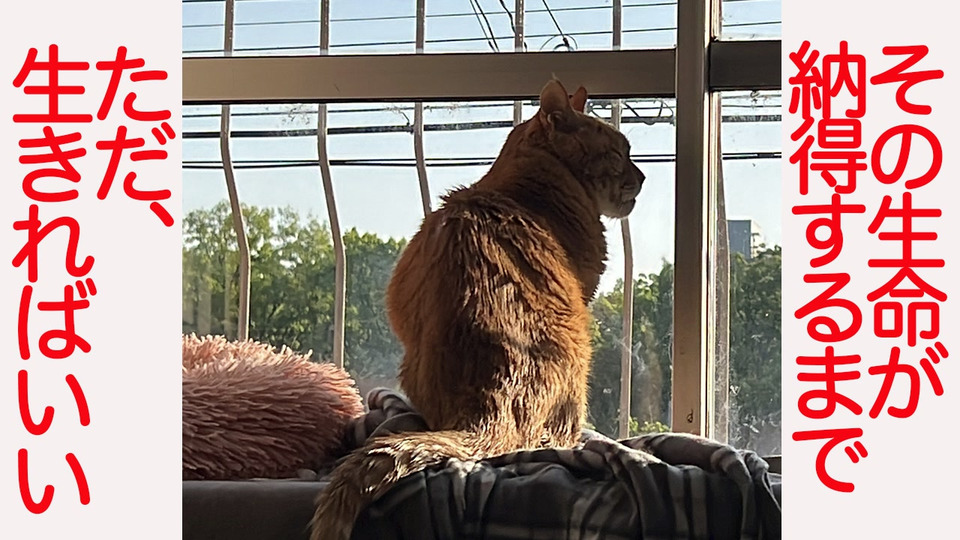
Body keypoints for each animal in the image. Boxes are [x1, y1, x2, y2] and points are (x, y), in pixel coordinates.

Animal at [310, 79, 645, 540]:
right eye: (618, 152)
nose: (642, 176)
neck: (525, 188)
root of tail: (491, 400)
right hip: (580, 363)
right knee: (559, 437)